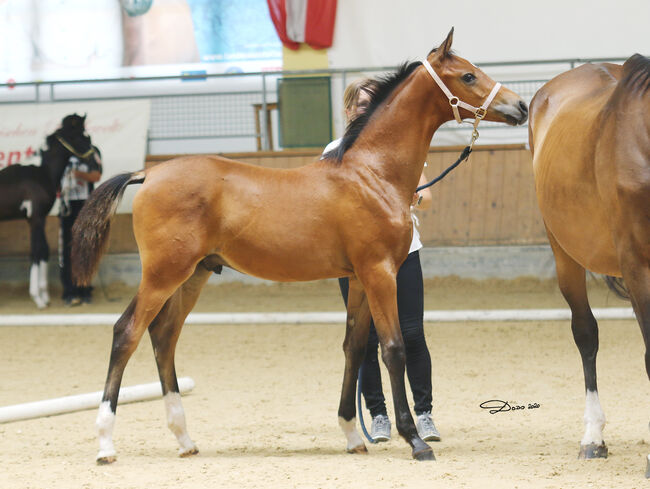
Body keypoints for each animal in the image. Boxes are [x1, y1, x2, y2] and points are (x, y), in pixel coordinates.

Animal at [0, 112, 94, 306]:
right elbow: (37, 252)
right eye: (82, 136)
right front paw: (38, 298)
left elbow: (43, 251)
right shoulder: (35, 218)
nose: (92, 161)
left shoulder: (39, 218)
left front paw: (44, 295)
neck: (42, 172)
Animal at [71, 28, 528, 464]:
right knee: (127, 332)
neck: (372, 174)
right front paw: (414, 440)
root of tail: (148, 173)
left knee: (164, 336)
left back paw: (185, 440)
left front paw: (352, 436)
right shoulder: (380, 273)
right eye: (467, 76)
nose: (521, 106)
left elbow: (354, 348)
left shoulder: (359, 279)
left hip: (194, 275)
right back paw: (106, 444)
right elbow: (393, 349)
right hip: (163, 274)